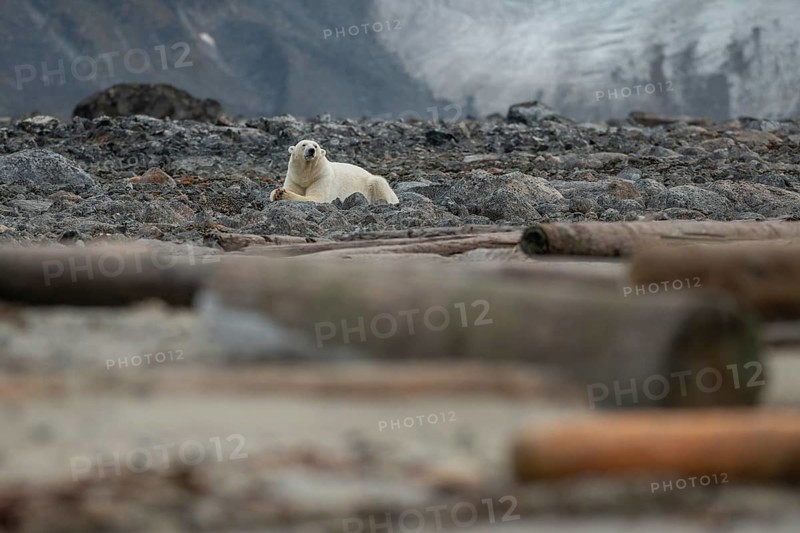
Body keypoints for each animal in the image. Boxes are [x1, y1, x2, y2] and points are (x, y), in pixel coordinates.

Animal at [270, 139, 399, 204]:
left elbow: (316, 197)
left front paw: (283, 194)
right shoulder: (294, 177)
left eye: (316, 146)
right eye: (303, 144)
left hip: (372, 182)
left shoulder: (322, 177)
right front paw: (277, 192)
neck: (308, 173)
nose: (311, 150)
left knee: (379, 182)